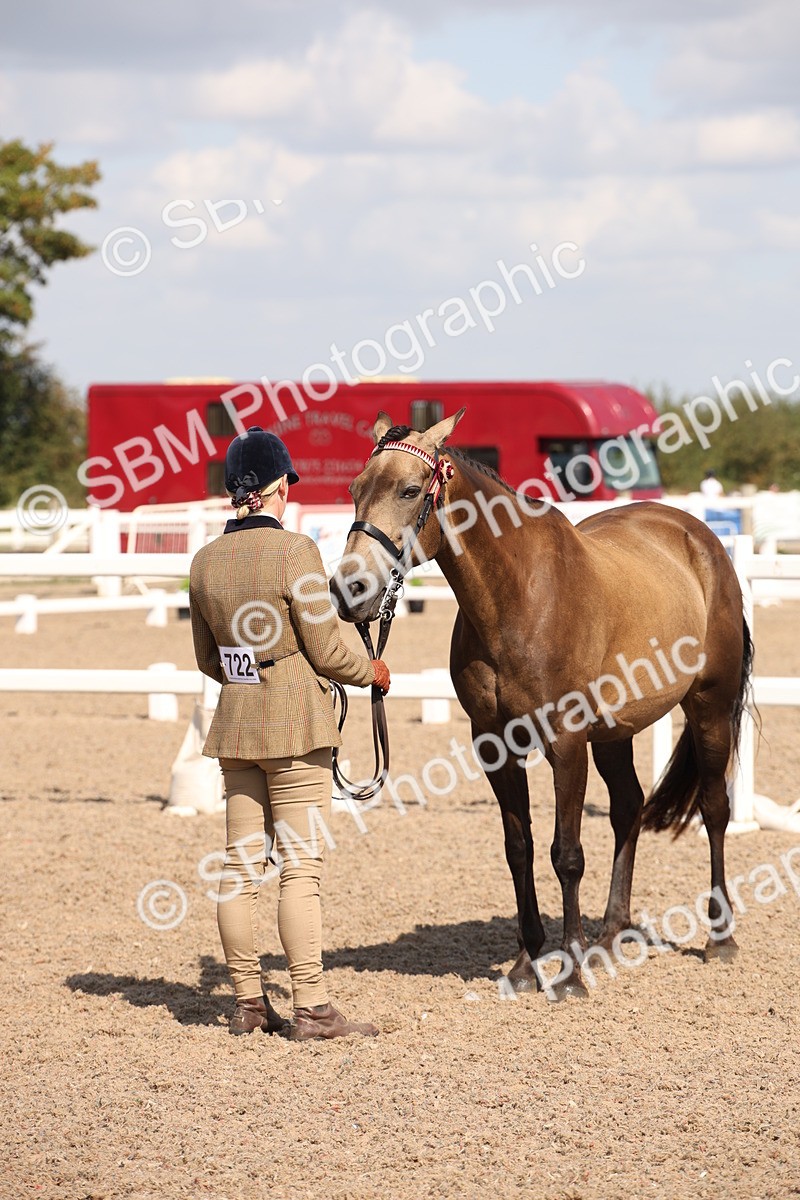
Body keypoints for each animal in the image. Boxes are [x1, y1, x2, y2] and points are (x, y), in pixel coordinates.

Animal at [330, 409, 752, 999]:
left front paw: (570, 972)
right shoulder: (495, 746)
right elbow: (520, 848)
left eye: (410, 491)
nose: (349, 591)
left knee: (714, 809)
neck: (518, 598)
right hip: (616, 731)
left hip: (709, 707)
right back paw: (609, 937)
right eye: (354, 490)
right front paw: (527, 964)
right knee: (628, 808)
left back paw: (719, 937)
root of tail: (700, 539)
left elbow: (565, 854)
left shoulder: (567, 743)